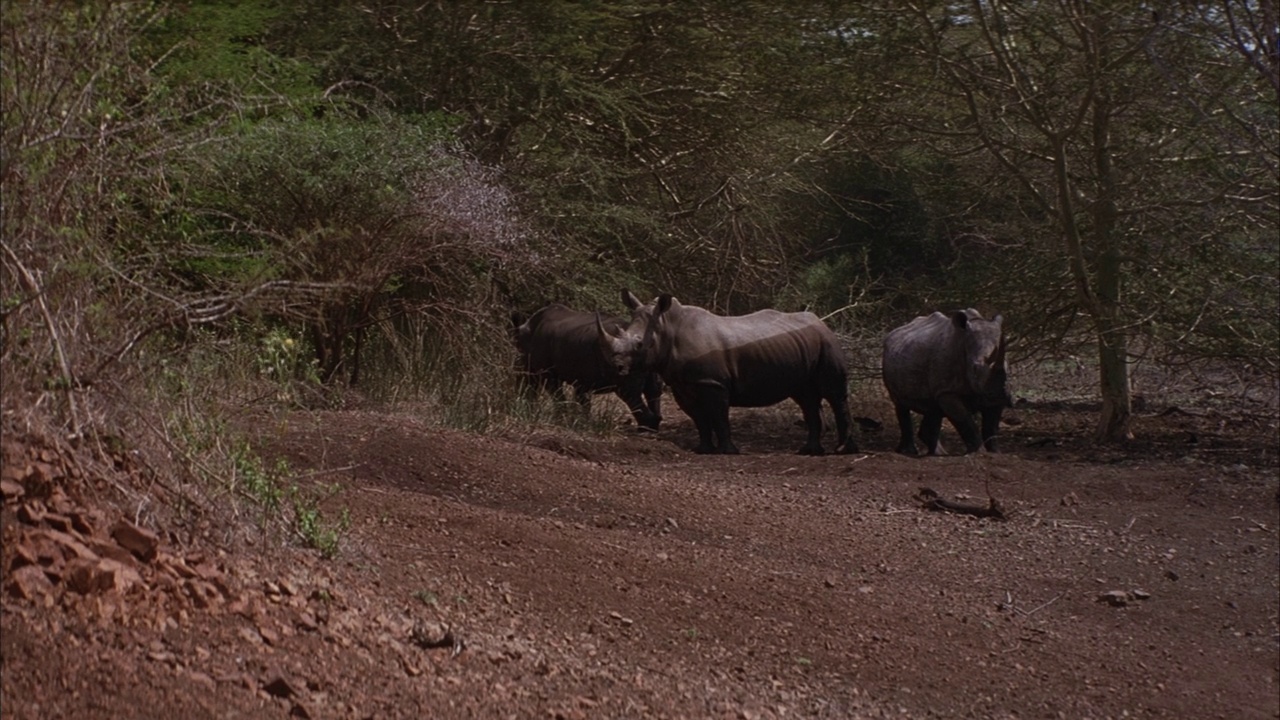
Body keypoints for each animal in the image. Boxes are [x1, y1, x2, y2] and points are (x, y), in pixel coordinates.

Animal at [593, 286, 855, 450]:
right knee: (806, 398)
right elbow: (699, 418)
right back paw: (809, 451)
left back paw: (843, 450)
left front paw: (728, 450)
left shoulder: (713, 382)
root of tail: (822, 322)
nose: (615, 368)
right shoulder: (683, 384)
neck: (668, 327)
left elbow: (719, 416)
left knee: (834, 394)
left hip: (827, 343)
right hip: (803, 348)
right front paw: (703, 449)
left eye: (640, 344)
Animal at [880, 308, 1008, 453]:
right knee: (901, 405)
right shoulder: (947, 392)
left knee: (933, 407)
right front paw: (978, 452)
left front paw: (995, 452)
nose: (998, 395)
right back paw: (910, 452)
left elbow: (991, 427)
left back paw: (937, 453)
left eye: (1006, 366)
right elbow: (964, 420)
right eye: (975, 368)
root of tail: (892, 333)